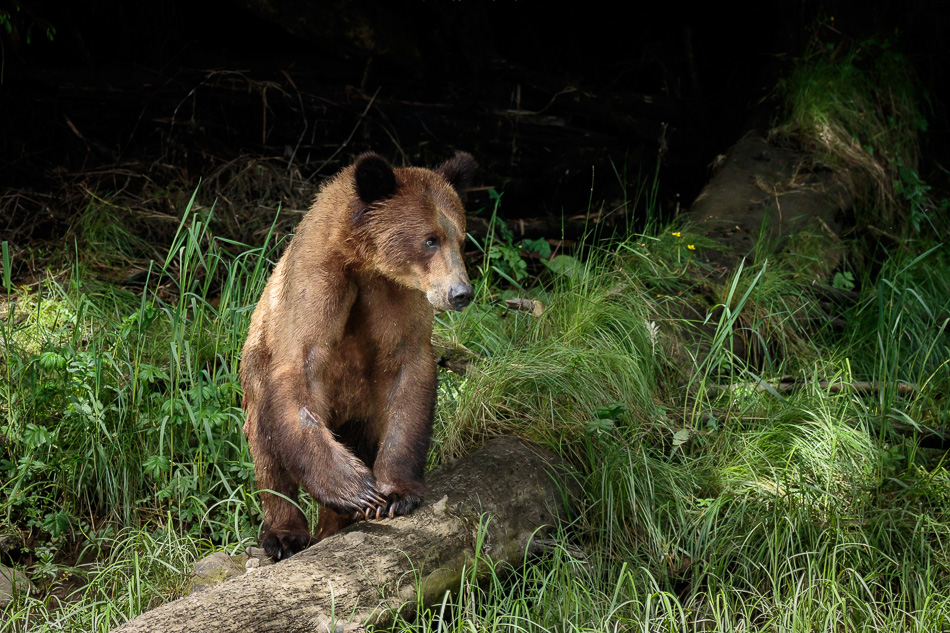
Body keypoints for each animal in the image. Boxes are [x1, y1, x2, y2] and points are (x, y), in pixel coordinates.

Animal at [240, 151, 476, 560]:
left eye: (460, 239)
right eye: (430, 239)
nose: (460, 293)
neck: (365, 267)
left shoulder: (398, 303)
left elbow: (407, 378)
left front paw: (395, 493)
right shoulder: (314, 290)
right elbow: (299, 376)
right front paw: (357, 489)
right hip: (255, 375)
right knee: (268, 455)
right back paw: (285, 534)